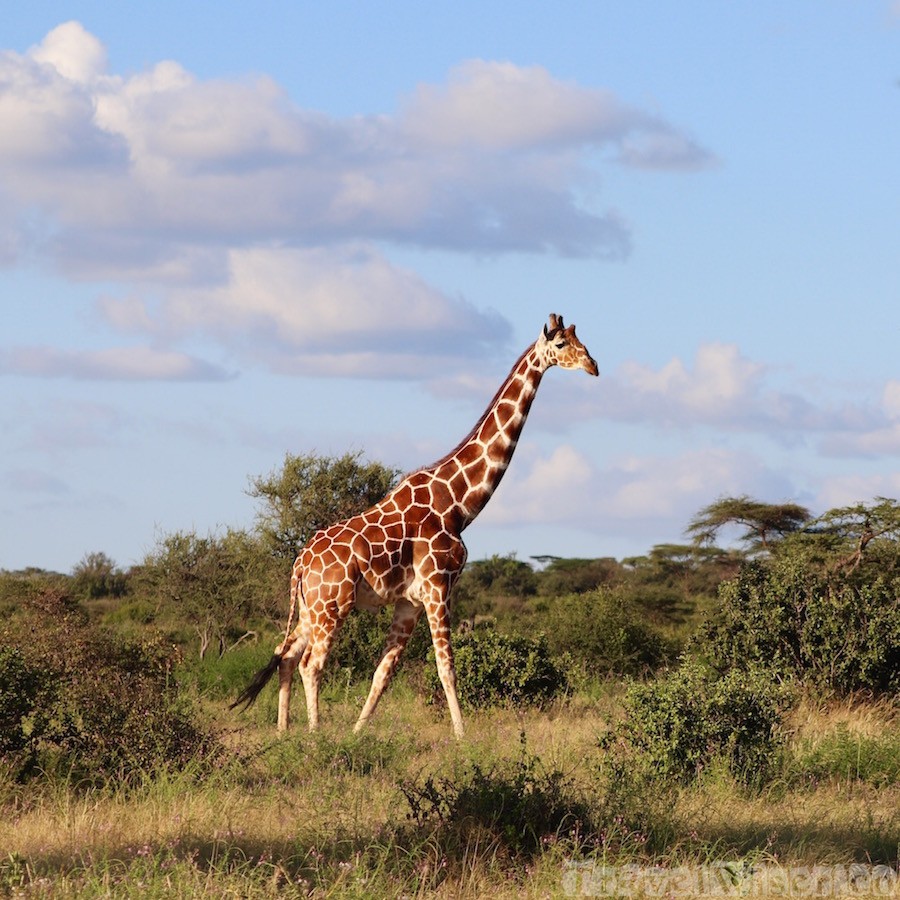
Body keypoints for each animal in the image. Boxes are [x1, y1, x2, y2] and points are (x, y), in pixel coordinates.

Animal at [231, 313, 598, 738]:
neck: (458, 503)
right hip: (332, 606)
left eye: (581, 340)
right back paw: (315, 734)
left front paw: (358, 733)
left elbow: (383, 673)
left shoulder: (409, 601)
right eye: (560, 345)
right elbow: (446, 667)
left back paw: (284, 732)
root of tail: (300, 564)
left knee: (286, 655)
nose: (593, 365)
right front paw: (461, 736)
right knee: (311, 664)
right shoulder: (439, 587)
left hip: (310, 607)